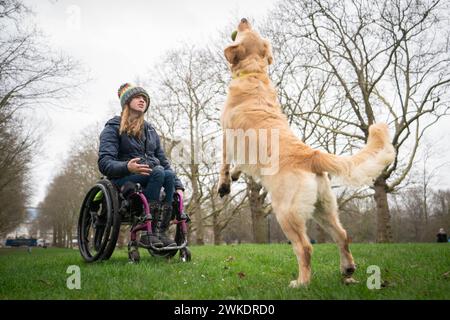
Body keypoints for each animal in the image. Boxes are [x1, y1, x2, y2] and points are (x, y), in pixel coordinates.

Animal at [216, 18, 396, 288]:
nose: (244, 19)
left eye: (246, 31)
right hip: (323, 208)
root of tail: (312, 155)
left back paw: (301, 282)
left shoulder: (228, 135)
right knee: (342, 235)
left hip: (286, 212)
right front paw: (236, 175)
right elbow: (240, 165)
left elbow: (225, 162)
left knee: (305, 247)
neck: (254, 73)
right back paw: (347, 268)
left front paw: (224, 184)